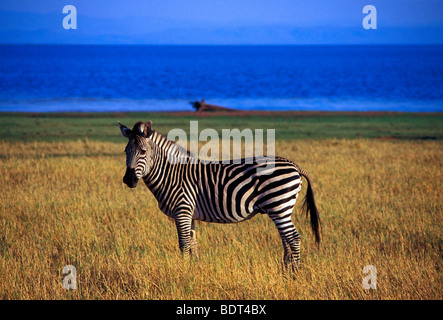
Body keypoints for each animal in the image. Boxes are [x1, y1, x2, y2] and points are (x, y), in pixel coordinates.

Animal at [117, 120, 320, 270]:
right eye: (126, 151)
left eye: (143, 151)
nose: (128, 180)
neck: (172, 174)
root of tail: (295, 165)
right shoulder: (189, 213)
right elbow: (193, 244)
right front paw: (194, 269)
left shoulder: (181, 210)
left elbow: (183, 244)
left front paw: (183, 271)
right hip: (280, 208)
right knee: (286, 239)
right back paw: (285, 270)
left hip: (279, 205)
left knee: (293, 238)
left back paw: (295, 273)